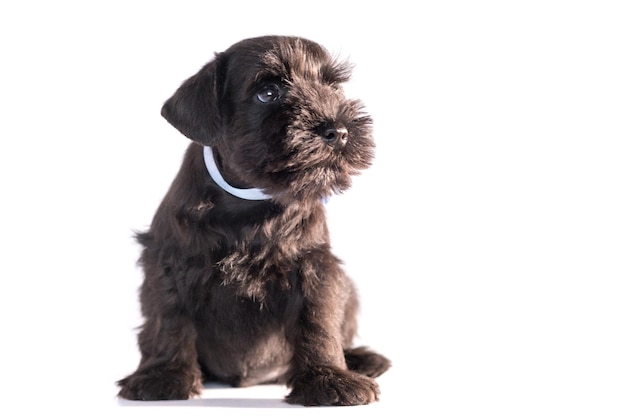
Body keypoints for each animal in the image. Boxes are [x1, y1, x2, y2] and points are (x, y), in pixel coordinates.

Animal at [116, 34, 388, 404]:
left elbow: (318, 320)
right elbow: (168, 318)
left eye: (332, 86)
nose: (339, 130)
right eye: (268, 93)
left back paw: (362, 359)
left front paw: (329, 378)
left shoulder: (314, 266)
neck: (251, 203)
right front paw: (164, 375)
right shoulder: (169, 262)